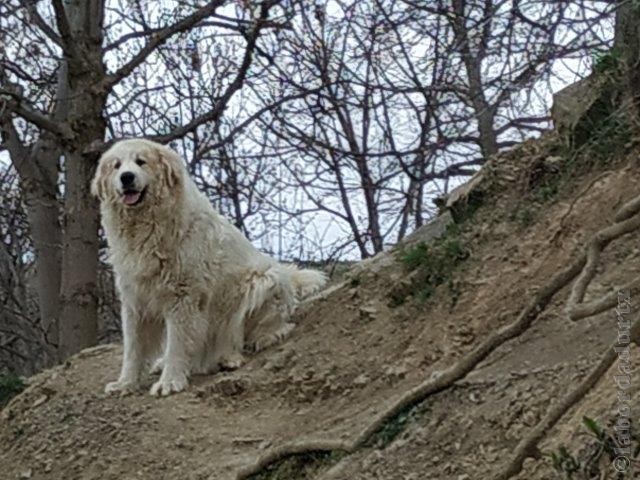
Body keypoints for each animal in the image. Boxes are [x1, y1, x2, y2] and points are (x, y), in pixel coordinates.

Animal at [92, 138, 328, 394]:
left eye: (140, 162)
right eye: (116, 166)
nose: (126, 177)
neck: (148, 229)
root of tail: (289, 277)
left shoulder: (183, 297)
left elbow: (177, 345)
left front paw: (169, 382)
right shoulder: (135, 299)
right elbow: (133, 350)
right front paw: (125, 383)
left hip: (263, 282)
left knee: (264, 331)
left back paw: (232, 355)